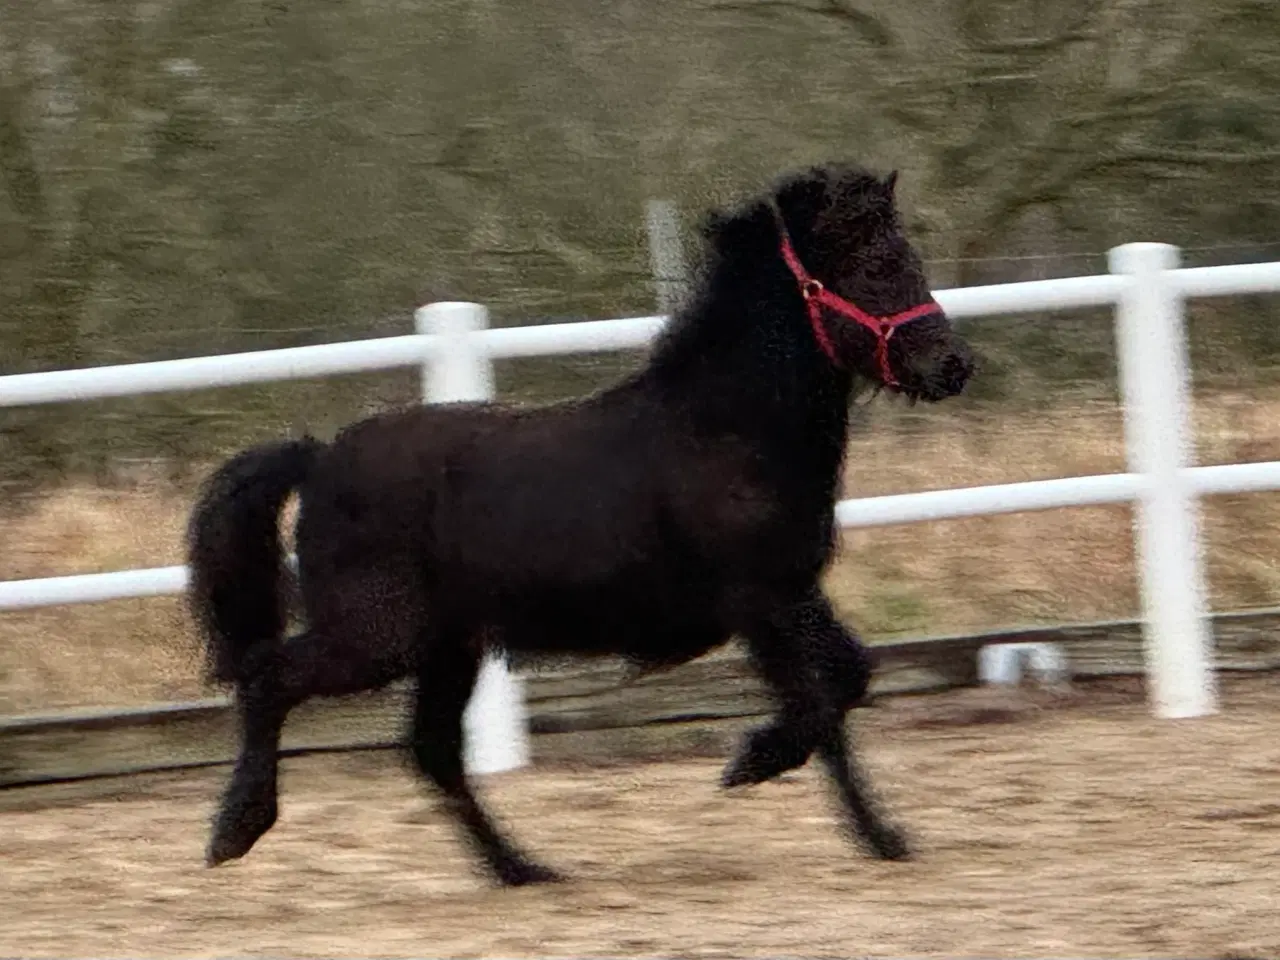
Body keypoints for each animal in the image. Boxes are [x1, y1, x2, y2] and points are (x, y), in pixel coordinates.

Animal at [185, 163, 972, 885]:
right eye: (875, 266)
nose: (953, 365)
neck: (725, 430)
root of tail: (319, 461)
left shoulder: (791, 593)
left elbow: (841, 687)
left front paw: (876, 833)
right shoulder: (762, 601)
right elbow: (826, 697)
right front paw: (759, 768)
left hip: (449, 647)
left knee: (432, 753)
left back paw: (524, 870)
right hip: (378, 637)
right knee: (269, 677)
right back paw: (235, 831)